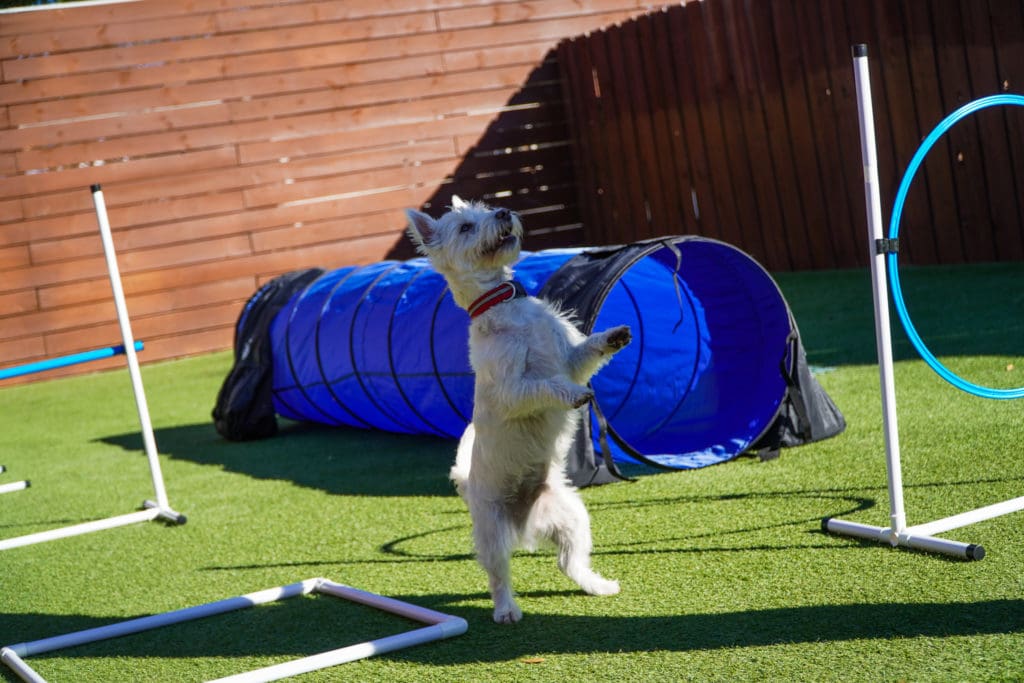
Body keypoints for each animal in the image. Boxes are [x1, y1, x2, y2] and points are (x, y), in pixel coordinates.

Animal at [403, 194, 626, 622]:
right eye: (465, 227)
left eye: (487, 208)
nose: (504, 212)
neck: (505, 305)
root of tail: (526, 525)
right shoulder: (513, 389)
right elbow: (546, 385)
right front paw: (574, 395)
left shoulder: (569, 358)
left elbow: (586, 351)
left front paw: (613, 337)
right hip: (491, 532)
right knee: (498, 575)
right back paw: (507, 610)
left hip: (573, 516)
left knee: (569, 562)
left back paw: (599, 586)